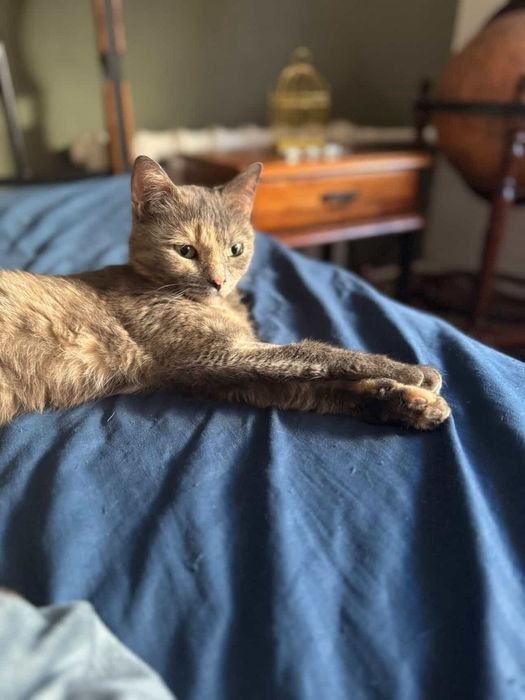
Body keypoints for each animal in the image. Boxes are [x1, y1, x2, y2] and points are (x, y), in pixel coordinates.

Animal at [0, 156, 451, 430]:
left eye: (235, 249)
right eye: (185, 251)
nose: (218, 281)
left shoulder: (219, 375)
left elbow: (320, 391)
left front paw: (409, 403)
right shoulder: (220, 353)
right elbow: (320, 353)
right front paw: (415, 373)